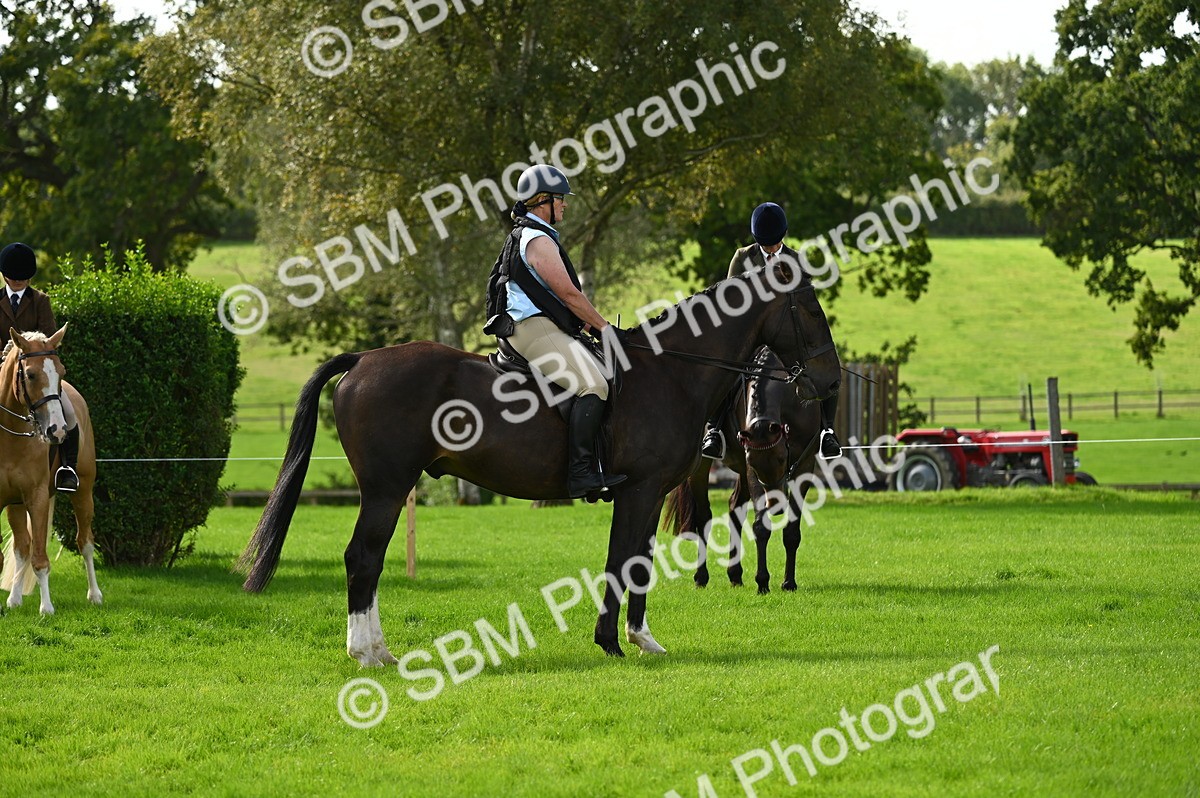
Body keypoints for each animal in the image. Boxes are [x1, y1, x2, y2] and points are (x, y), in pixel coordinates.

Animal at [0, 327, 102, 614]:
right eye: (31, 374)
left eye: (61, 371)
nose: (56, 430)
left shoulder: (37, 498)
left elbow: (41, 559)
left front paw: (46, 608)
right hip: (15, 504)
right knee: (22, 547)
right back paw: (14, 599)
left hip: (83, 492)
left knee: (85, 542)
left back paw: (95, 595)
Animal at [663, 347, 822, 594]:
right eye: (755, 463)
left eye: (781, 459)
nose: (775, 505)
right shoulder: (750, 470)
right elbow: (760, 526)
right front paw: (763, 581)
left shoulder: (804, 466)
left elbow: (791, 531)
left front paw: (788, 582)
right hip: (704, 467)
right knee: (703, 517)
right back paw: (701, 576)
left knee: (734, 509)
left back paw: (735, 575)